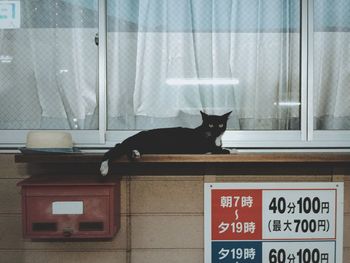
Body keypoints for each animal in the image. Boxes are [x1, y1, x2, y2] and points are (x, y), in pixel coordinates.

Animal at [100, 110, 232, 176]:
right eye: (210, 125)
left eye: (221, 125)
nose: (216, 131)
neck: (214, 138)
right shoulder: (199, 147)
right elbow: (215, 149)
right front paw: (229, 150)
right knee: (113, 152)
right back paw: (103, 169)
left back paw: (135, 153)